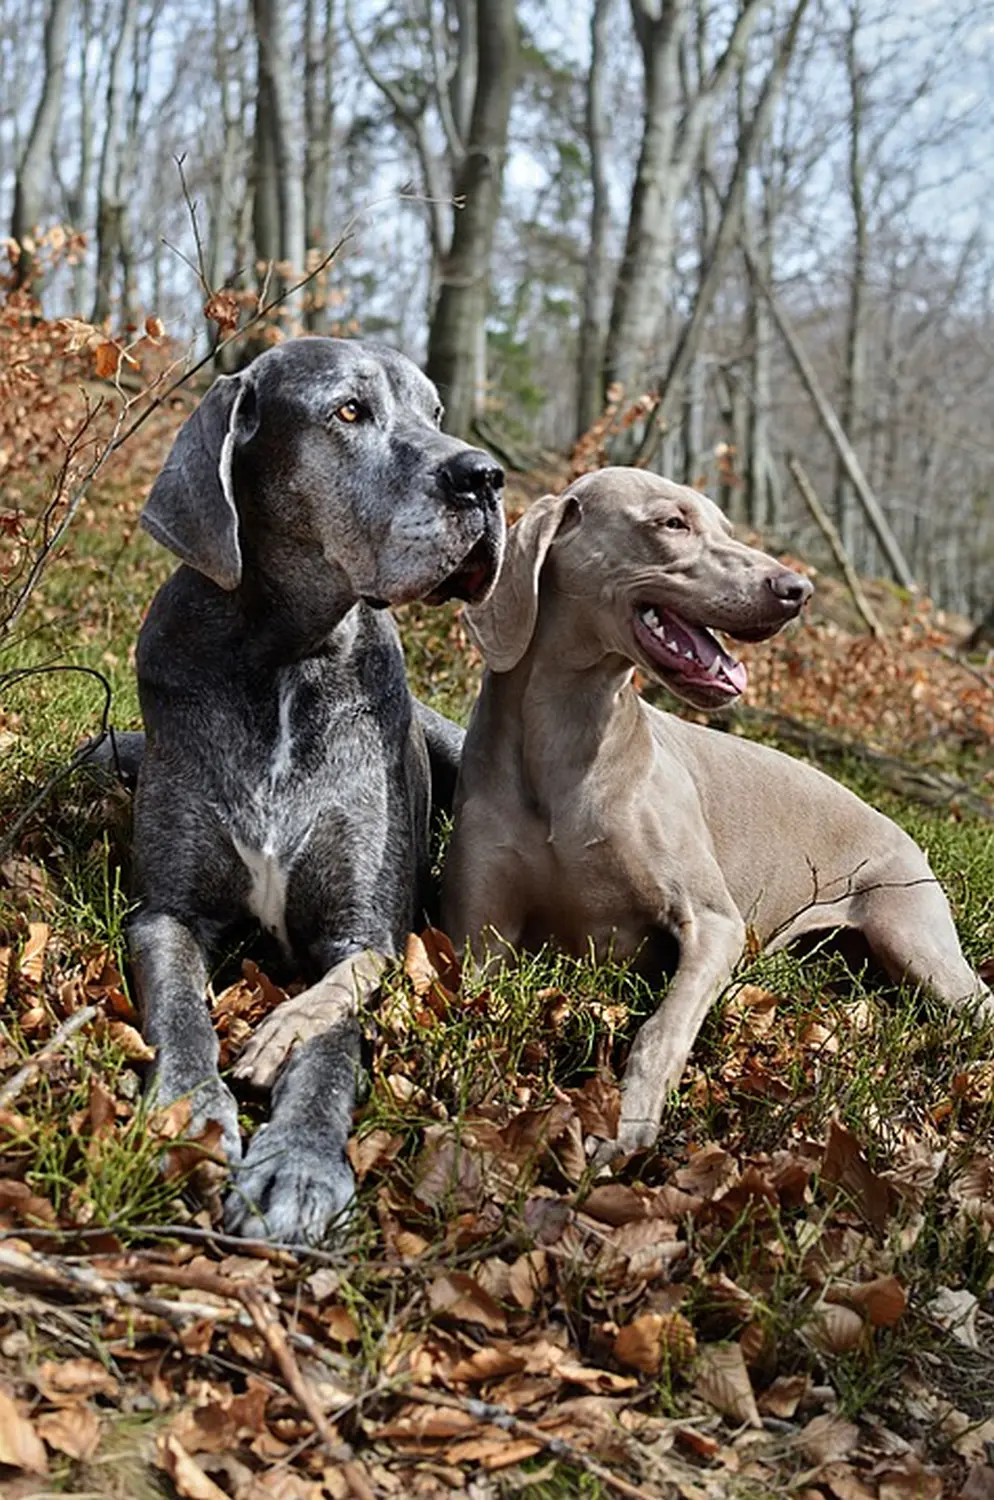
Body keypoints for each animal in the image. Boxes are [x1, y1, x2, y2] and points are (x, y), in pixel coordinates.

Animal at [130, 340, 506, 1242]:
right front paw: (190, 1115)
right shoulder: (165, 910)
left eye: (434, 413)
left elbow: (331, 1040)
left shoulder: (360, 933)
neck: (286, 661)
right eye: (348, 411)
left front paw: (298, 1161)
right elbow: (179, 1008)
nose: (485, 477)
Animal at [443, 468, 994, 1158]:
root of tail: (902, 828)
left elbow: (663, 1026)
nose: (797, 590)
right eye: (672, 523)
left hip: (917, 940)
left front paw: (629, 1124)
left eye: (727, 527)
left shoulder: (712, 922)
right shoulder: (478, 936)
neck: (565, 748)